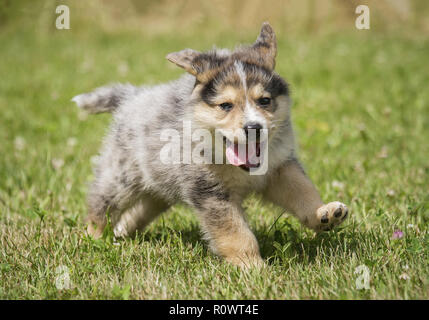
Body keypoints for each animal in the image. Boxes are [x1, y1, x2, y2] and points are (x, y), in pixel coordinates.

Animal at [72, 22, 348, 268]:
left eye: (264, 100)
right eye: (226, 105)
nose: (254, 127)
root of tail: (133, 98)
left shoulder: (281, 168)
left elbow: (302, 191)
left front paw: (323, 213)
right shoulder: (210, 192)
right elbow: (236, 233)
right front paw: (253, 267)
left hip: (159, 187)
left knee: (141, 209)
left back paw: (121, 233)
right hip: (120, 178)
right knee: (100, 206)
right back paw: (92, 238)